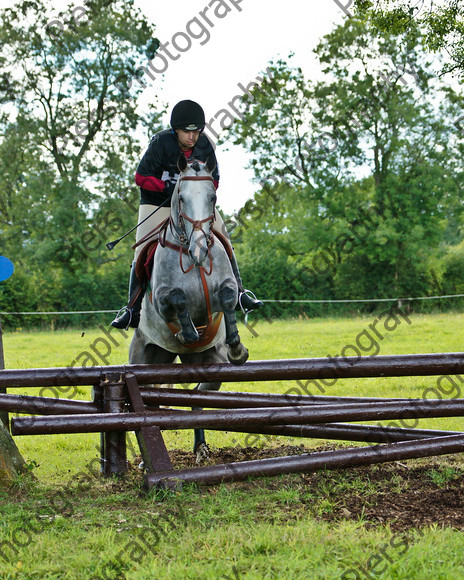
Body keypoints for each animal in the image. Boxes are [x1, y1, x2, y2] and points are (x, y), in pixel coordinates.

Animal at [129, 154, 248, 462]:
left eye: (212, 197)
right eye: (181, 198)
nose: (199, 250)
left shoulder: (224, 288)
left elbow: (229, 298)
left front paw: (237, 347)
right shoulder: (161, 299)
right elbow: (178, 299)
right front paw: (188, 333)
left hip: (211, 365)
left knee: (197, 400)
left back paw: (201, 449)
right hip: (142, 360)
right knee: (146, 404)